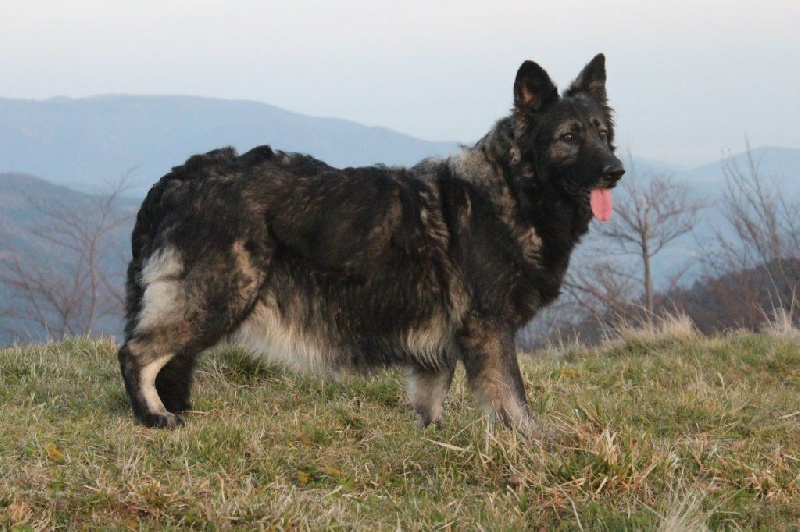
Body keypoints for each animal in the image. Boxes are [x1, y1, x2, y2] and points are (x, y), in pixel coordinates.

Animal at [118, 54, 624, 437]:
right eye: (569, 137)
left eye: (602, 134)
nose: (615, 171)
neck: (512, 190)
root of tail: (180, 177)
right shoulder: (489, 327)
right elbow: (512, 395)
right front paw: (536, 439)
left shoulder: (441, 341)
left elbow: (432, 393)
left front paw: (434, 435)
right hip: (220, 297)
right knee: (135, 353)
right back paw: (153, 416)